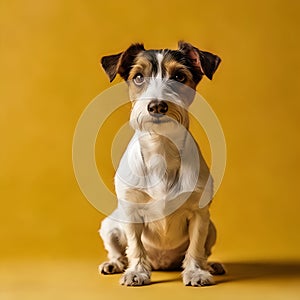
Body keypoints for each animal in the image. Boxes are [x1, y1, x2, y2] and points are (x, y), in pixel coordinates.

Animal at [97, 40, 224, 286]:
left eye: (179, 76)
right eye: (138, 77)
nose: (157, 106)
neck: (161, 149)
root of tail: (161, 264)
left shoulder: (199, 214)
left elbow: (196, 248)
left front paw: (195, 272)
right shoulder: (131, 213)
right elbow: (135, 247)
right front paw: (136, 272)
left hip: (212, 227)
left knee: (203, 250)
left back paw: (210, 265)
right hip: (110, 225)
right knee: (117, 250)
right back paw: (114, 264)